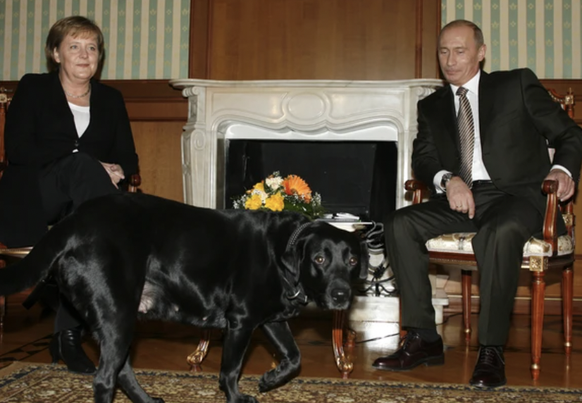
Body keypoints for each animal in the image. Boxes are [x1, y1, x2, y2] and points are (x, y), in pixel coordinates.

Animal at [0, 193, 370, 403]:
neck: (282, 250)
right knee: (105, 378)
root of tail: (72, 222)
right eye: (319, 259)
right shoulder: (241, 322)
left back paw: (148, 401)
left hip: (120, 319)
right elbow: (230, 371)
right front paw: (238, 397)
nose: (341, 294)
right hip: (117, 315)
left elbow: (294, 358)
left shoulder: (270, 321)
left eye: (352, 260)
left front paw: (269, 380)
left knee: (121, 370)